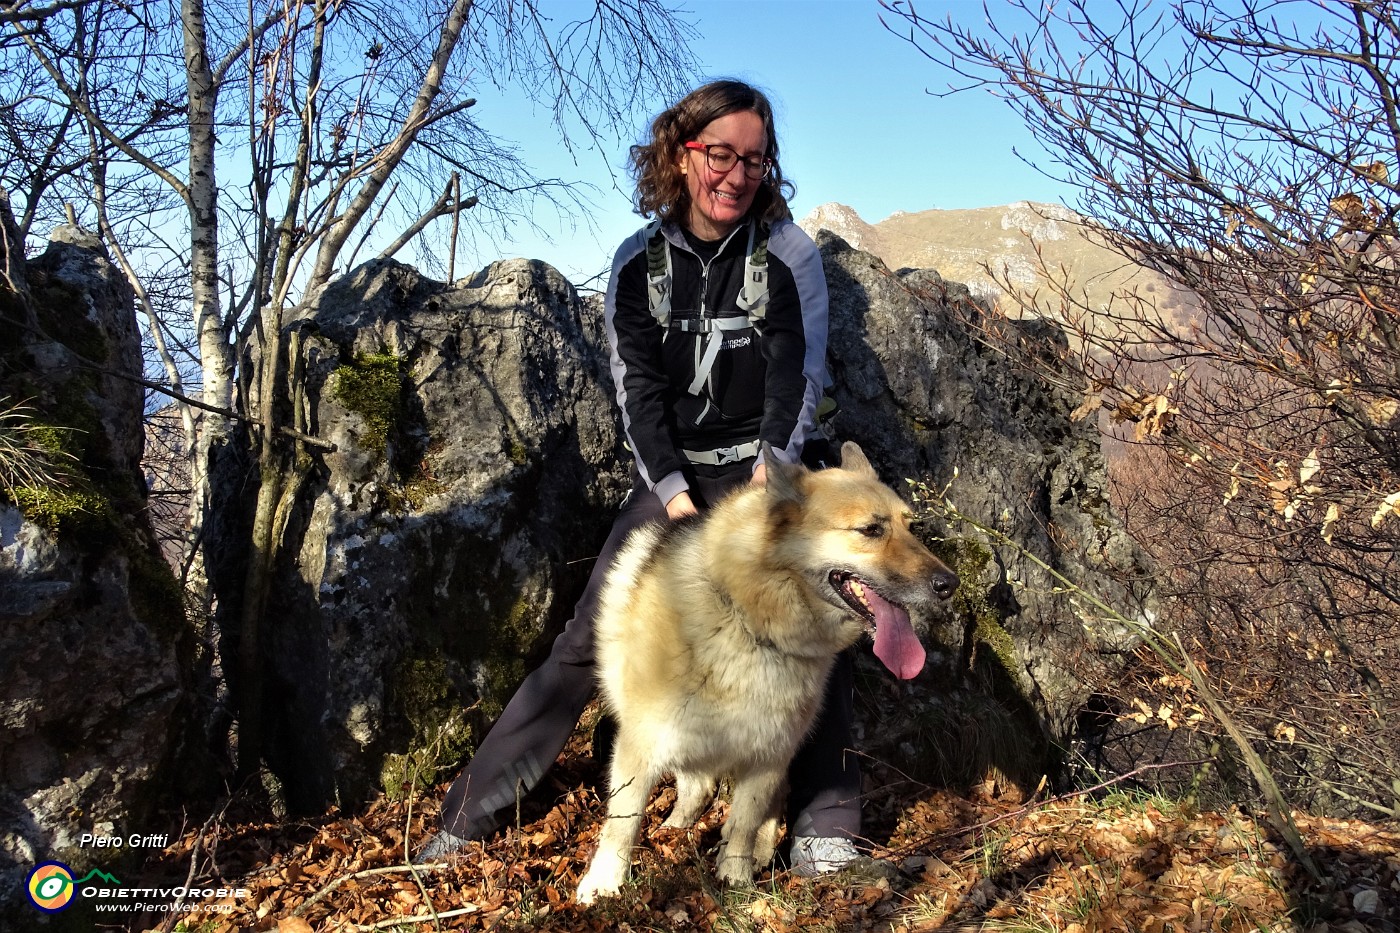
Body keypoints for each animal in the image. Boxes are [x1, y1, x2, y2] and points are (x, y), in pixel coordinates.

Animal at [574, 442, 957, 902]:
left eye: (910, 527)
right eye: (870, 530)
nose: (950, 584)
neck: (748, 620)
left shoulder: (769, 754)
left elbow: (745, 820)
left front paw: (735, 878)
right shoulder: (642, 745)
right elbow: (623, 821)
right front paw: (604, 882)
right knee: (695, 787)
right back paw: (676, 829)